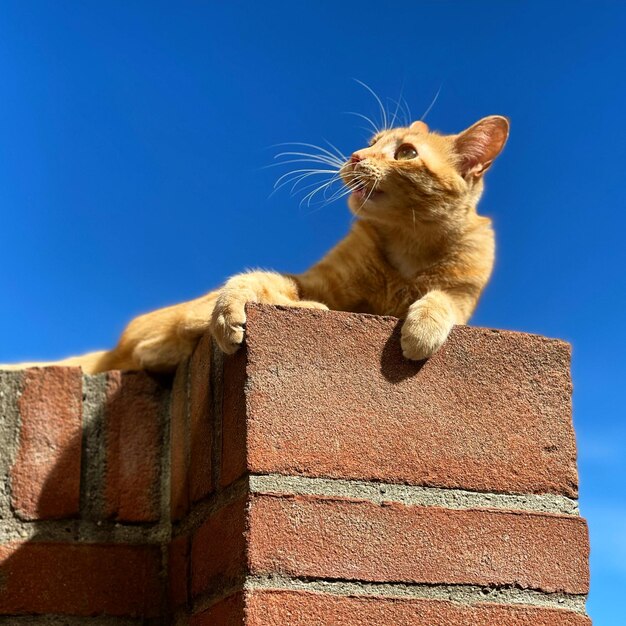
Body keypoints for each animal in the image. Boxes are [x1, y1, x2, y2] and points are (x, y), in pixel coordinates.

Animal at [6, 114, 508, 372]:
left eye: (405, 153)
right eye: (370, 142)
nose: (353, 156)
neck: (407, 246)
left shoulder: (463, 295)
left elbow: (441, 299)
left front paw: (421, 325)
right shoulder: (314, 280)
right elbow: (255, 280)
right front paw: (233, 311)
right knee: (158, 343)